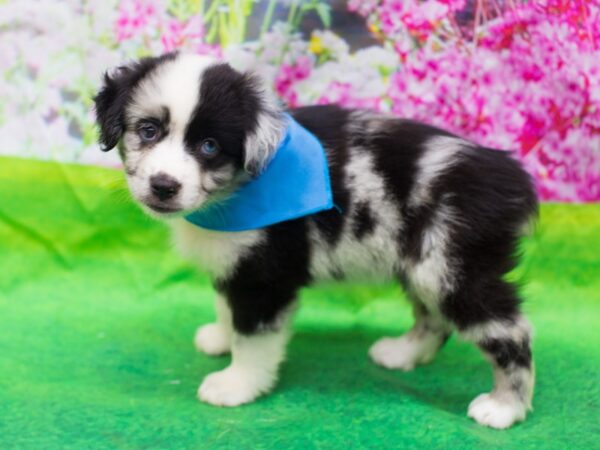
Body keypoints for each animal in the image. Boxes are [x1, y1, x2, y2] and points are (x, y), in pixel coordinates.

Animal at [95, 52, 540, 428]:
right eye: (148, 131)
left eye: (209, 146)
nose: (163, 186)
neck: (234, 193)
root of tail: (512, 179)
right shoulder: (235, 265)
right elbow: (226, 306)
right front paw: (220, 337)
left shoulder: (265, 278)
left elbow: (252, 338)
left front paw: (236, 385)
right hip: (424, 266)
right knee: (433, 318)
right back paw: (402, 354)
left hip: (454, 268)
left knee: (511, 331)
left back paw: (504, 407)